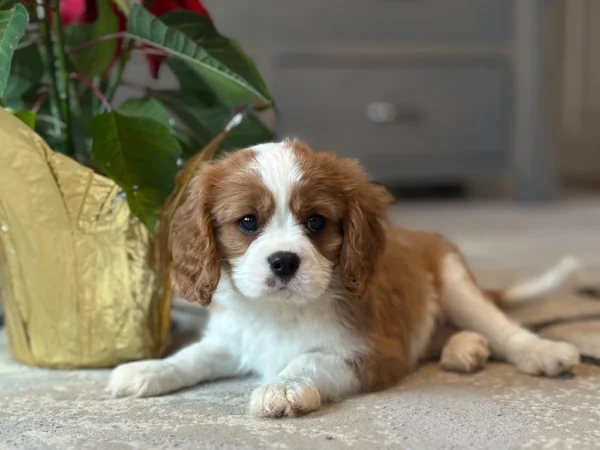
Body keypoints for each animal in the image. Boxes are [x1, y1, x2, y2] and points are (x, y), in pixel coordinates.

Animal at [108, 140, 580, 418]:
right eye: (247, 222)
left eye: (316, 222)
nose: (284, 262)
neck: (282, 312)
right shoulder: (233, 340)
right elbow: (192, 357)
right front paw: (148, 370)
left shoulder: (372, 354)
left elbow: (310, 359)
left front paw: (282, 387)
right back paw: (464, 348)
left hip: (455, 282)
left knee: (502, 328)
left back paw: (539, 351)